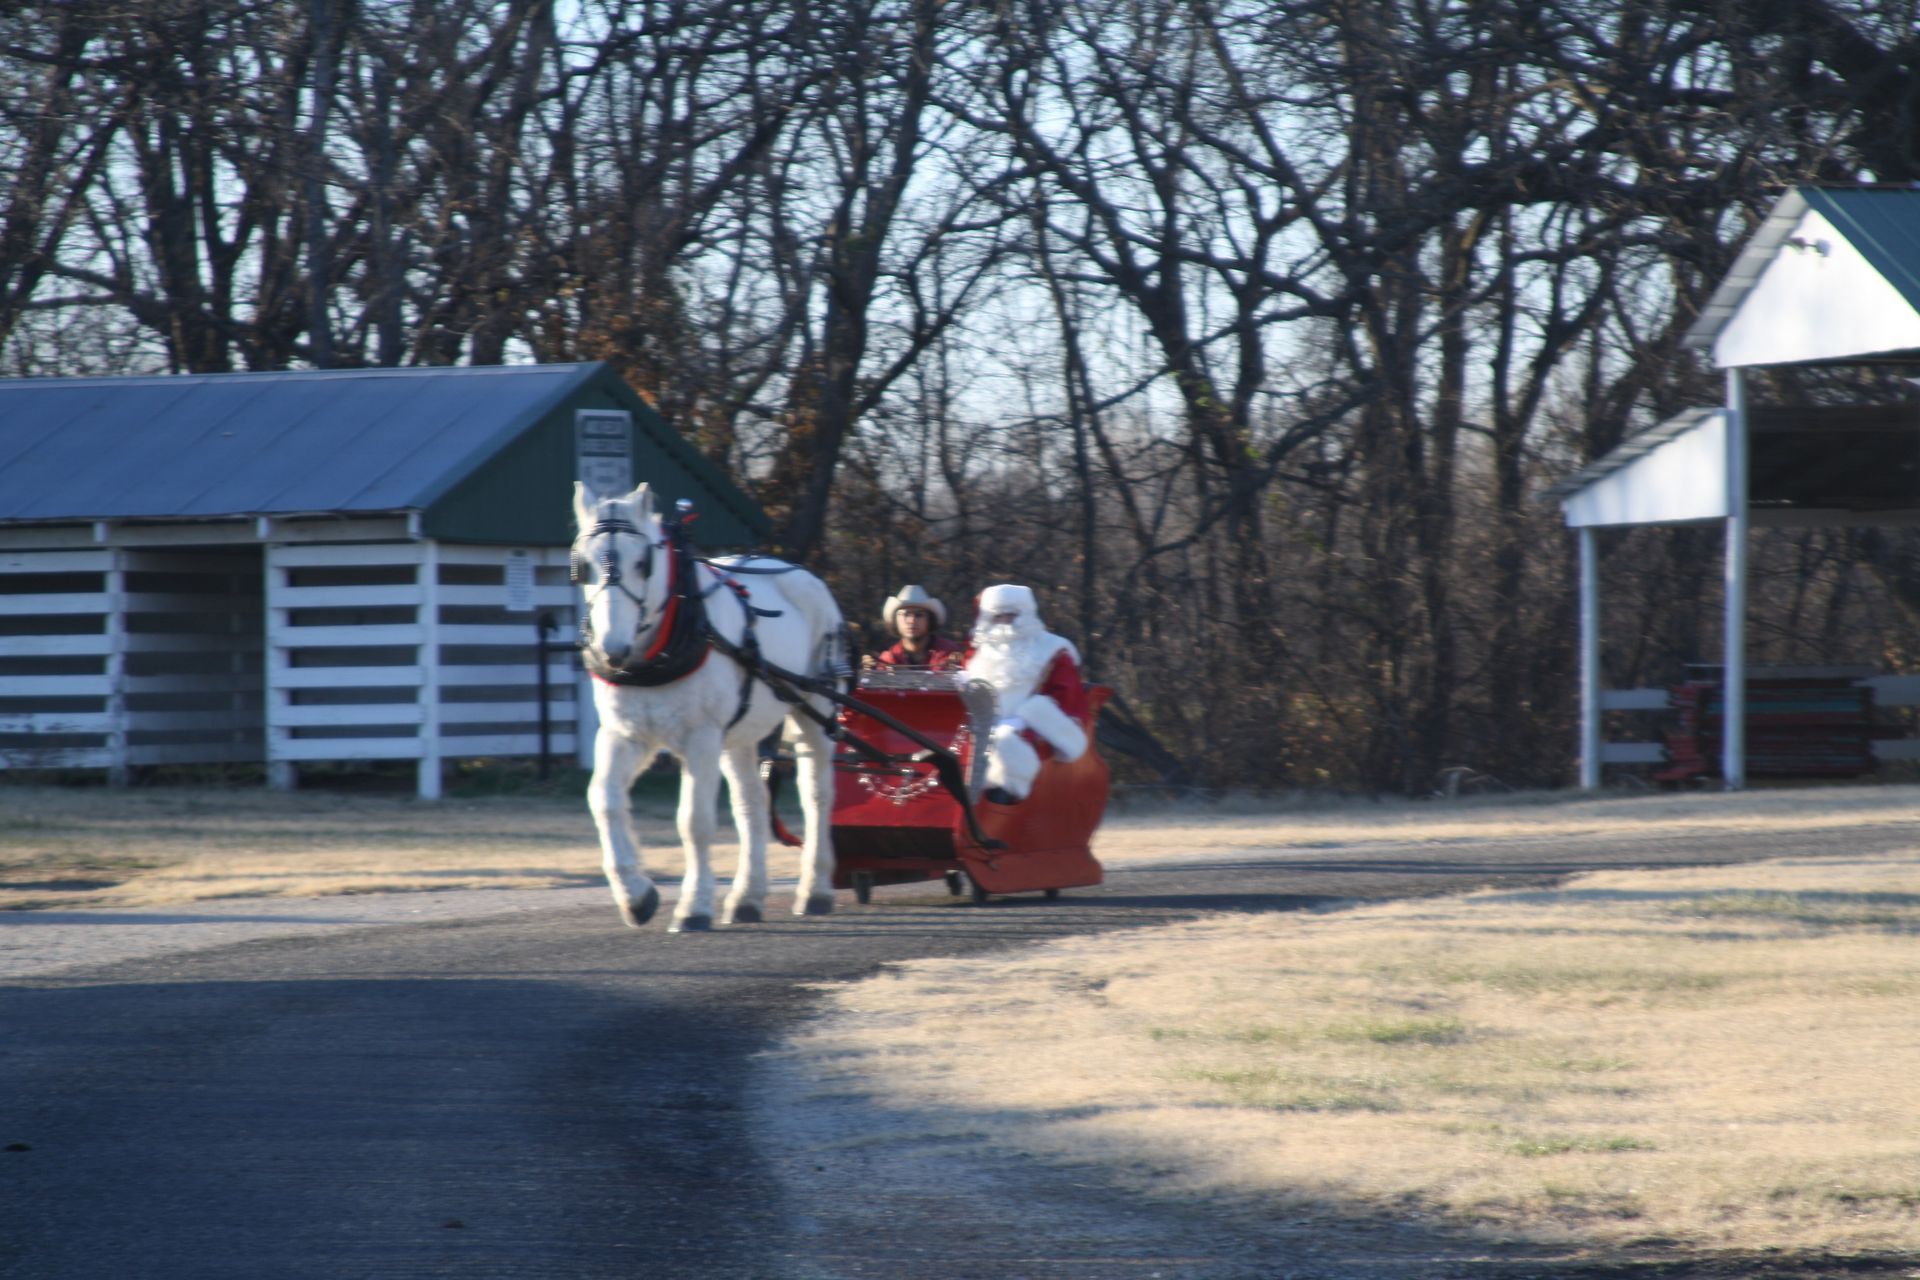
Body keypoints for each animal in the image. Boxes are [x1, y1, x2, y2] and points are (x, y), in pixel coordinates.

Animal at [569, 480, 847, 932]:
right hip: (739, 736)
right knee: (751, 804)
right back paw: (747, 898)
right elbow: (605, 801)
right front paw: (636, 896)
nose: (613, 650)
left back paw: (815, 889)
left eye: (643, 563)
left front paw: (693, 908)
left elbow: (694, 821)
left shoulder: (701, 736)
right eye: (582, 566)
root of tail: (802, 573)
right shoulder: (624, 734)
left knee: (817, 796)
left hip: (815, 711)